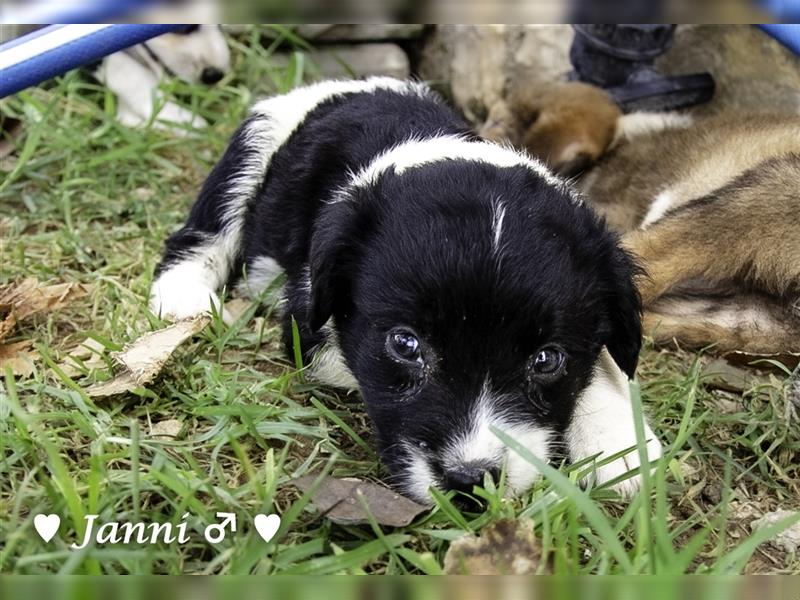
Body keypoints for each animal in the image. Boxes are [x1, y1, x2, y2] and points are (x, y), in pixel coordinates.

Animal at [150, 77, 664, 504]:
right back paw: (182, 298)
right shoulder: (308, 321)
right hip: (254, 144)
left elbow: (601, 364)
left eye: (546, 360)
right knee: (204, 230)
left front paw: (619, 444)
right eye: (405, 345)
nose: (470, 481)